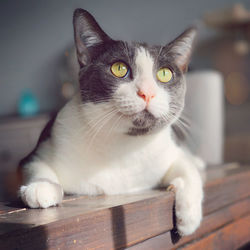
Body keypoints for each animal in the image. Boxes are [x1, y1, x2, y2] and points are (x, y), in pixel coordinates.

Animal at [18, 8, 205, 236]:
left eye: (164, 74)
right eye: (119, 69)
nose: (147, 93)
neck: (124, 146)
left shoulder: (168, 152)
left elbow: (188, 170)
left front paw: (189, 217)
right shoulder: (44, 146)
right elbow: (36, 165)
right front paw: (41, 187)